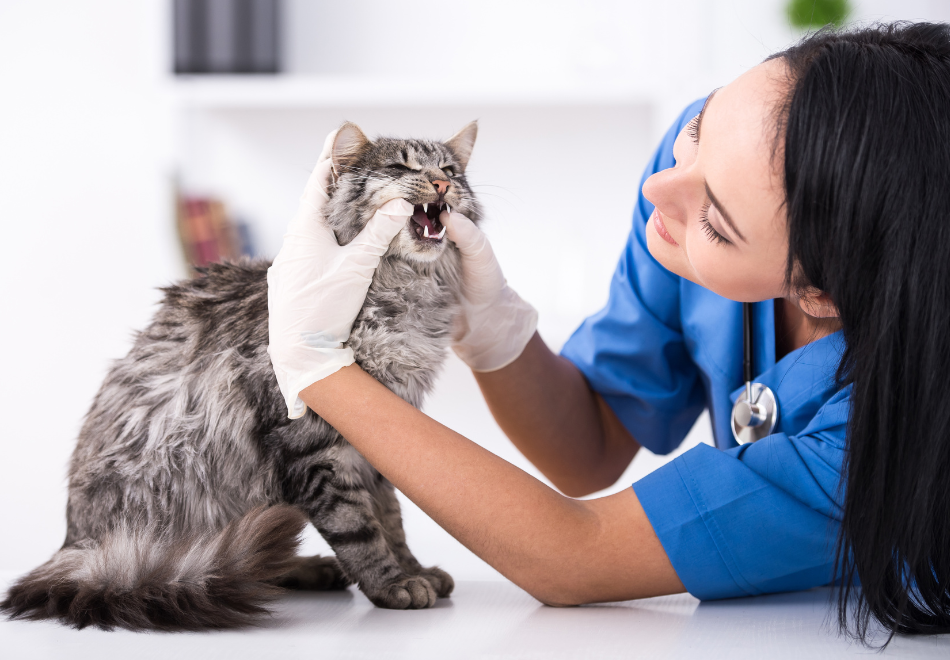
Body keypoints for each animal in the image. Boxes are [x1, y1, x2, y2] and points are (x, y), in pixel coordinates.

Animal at [1, 121, 484, 632]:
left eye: (450, 170)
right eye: (401, 167)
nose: (442, 185)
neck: (404, 297)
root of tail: (77, 555)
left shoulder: (378, 438)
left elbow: (391, 519)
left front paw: (415, 570)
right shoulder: (314, 447)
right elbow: (360, 529)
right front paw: (392, 583)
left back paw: (303, 568)